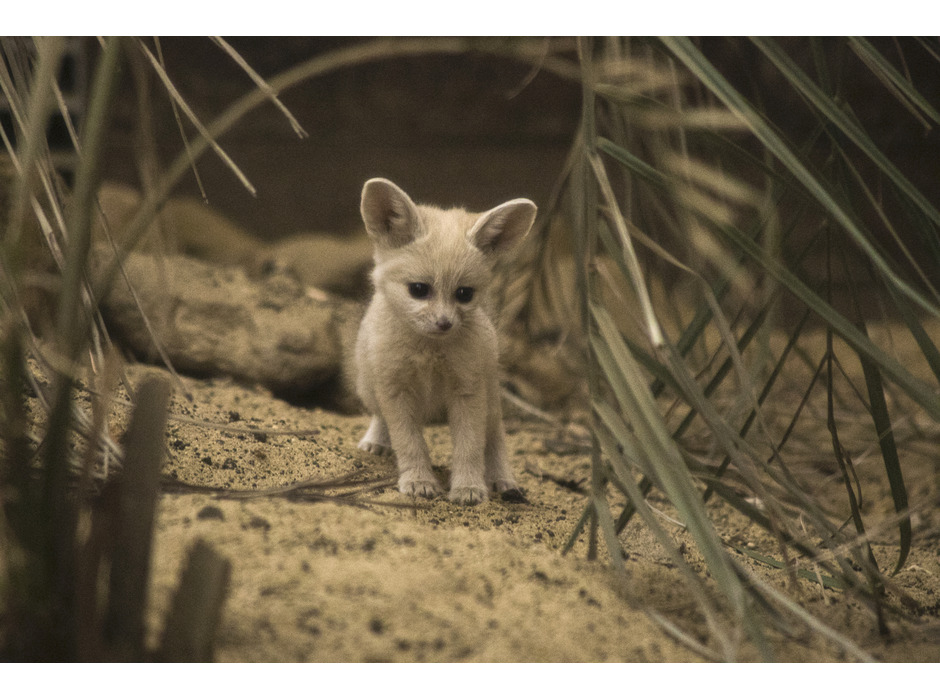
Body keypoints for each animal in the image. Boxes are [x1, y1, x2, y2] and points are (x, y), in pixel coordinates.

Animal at [356, 175, 536, 504]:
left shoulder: (468, 391)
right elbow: (410, 443)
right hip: (368, 388)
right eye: (418, 290)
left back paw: (503, 480)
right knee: (379, 417)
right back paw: (376, 442)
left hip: (491, 399)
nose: (444, 323)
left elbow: (469, 447)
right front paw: (418, 481)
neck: (430, 354)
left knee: (496, 438)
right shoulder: (395, 390)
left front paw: (468, 487)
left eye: (464, 294)